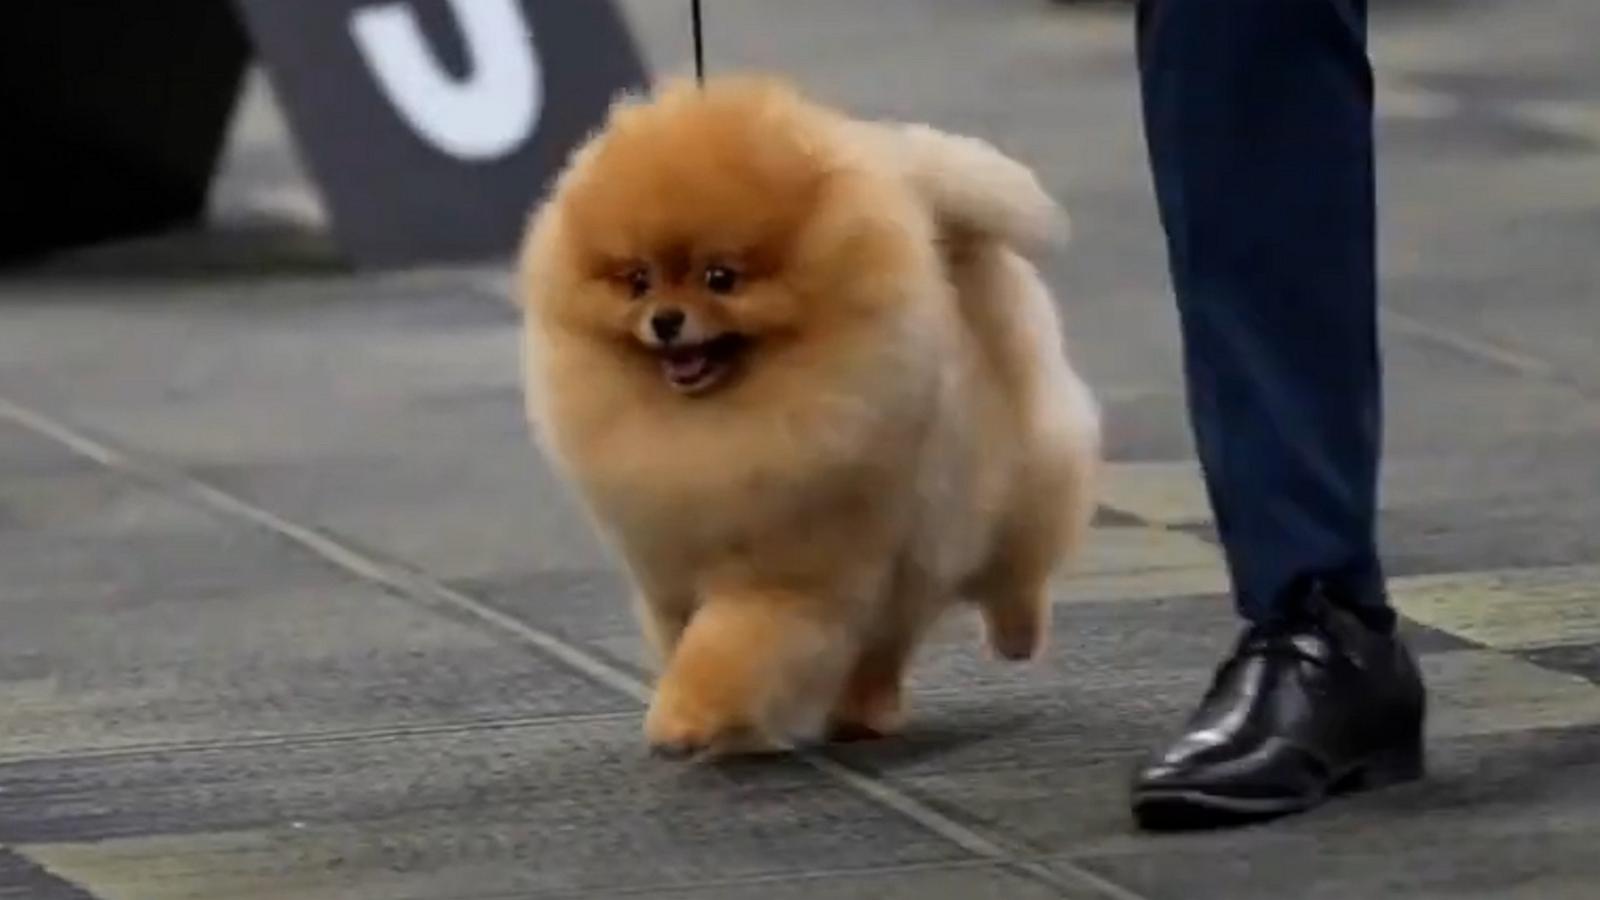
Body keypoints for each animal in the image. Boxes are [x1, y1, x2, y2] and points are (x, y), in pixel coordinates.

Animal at [515, 73, 1100, 752]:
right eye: (637, 281)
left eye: (720, 277)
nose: (665, 319)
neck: (712, 426)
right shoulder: (666, 571)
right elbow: (685, 637)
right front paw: (729, 724)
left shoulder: (786, 574)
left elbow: (725, 647)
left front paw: (686, 717)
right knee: (886, 644)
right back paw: (864, 711)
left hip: (1008, 482)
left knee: (1017, 564)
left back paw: (1015, 636)